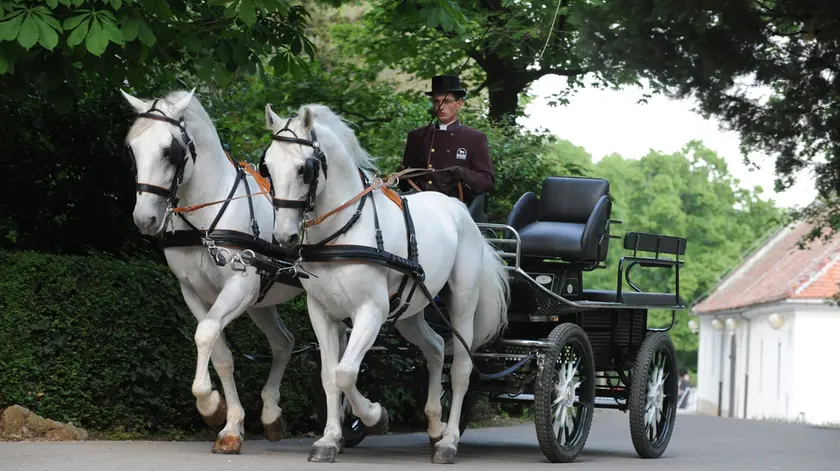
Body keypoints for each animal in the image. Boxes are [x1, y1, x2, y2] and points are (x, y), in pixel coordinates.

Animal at [118, 88, 302, 454]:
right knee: (284, 342)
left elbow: (205, 334)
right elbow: (220, 353)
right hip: (262, 302)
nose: (144, 218)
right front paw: (226, 420)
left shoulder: (239, 286)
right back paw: (272, 414)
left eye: (170, 150)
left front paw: (209, 404)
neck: (206, 220)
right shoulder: (194, 292)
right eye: (132, 149)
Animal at [260, 103, 508, 464]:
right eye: (266, 166)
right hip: (411, 311)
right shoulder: (322, 312)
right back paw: (434, 425)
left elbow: (346, 372)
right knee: (435, 348)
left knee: (461, 369)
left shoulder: (371, 311)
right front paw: (330, 439)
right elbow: (330, 374)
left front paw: (374, 415)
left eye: (304, 168)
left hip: (462, 303)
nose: (284, 236)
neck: (342, 231)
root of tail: (461, 210)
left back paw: (448, 441)